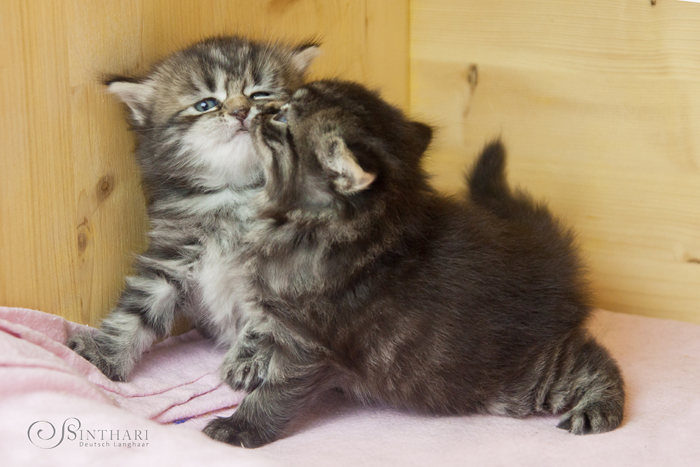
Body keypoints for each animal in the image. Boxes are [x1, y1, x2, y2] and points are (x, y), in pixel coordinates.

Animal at [67, 37, 318, 384]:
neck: (235, 192)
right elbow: (135, 312)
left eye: (260, 95)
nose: (241, 111)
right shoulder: (171, 257)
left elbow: (264, 319)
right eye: (206, 104)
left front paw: (251, 359)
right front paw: (105, 354)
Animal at [202, 81, 624, 450]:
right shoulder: (275, 317)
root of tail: (552, 258)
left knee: (591, 359)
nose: (256, 108)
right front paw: (244, 363)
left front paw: (239, 427)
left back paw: (598, 408)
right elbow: (256, 331)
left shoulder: (306, 345)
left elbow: (274, 392)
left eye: (284, 118)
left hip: (515, 381)